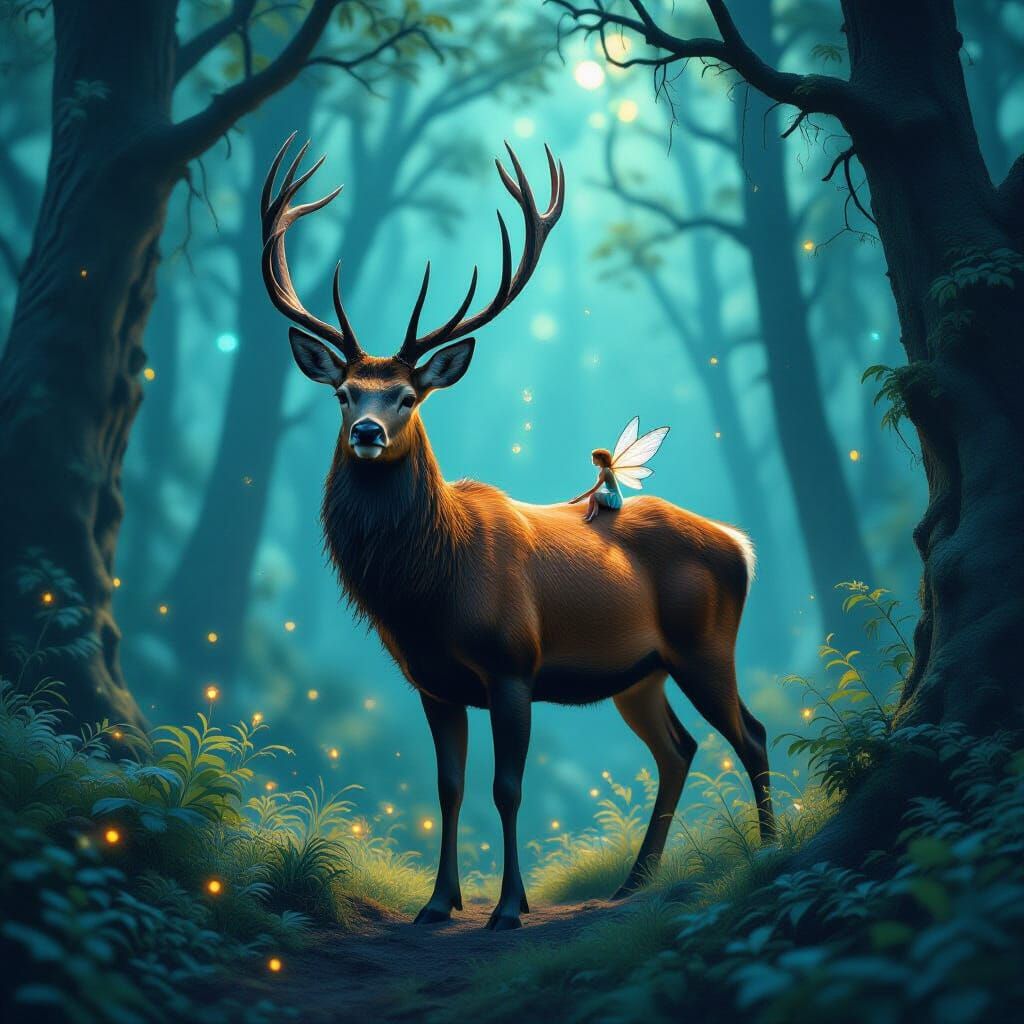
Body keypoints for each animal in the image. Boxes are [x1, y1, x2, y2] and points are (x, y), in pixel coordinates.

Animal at [260, 134, 774, 931]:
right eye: (344, 393)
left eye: (407, 395)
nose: (368, 433)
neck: (428, 592)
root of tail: (739, 543)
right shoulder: (433, 684)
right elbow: (448, 788)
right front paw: (438, 903)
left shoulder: (513, 664)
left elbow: (508, 789)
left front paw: (507, 908)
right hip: (642, 671)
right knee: (678, 748)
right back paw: (633, 883)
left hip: (705, 645)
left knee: (750, 736)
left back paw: (768, 852)